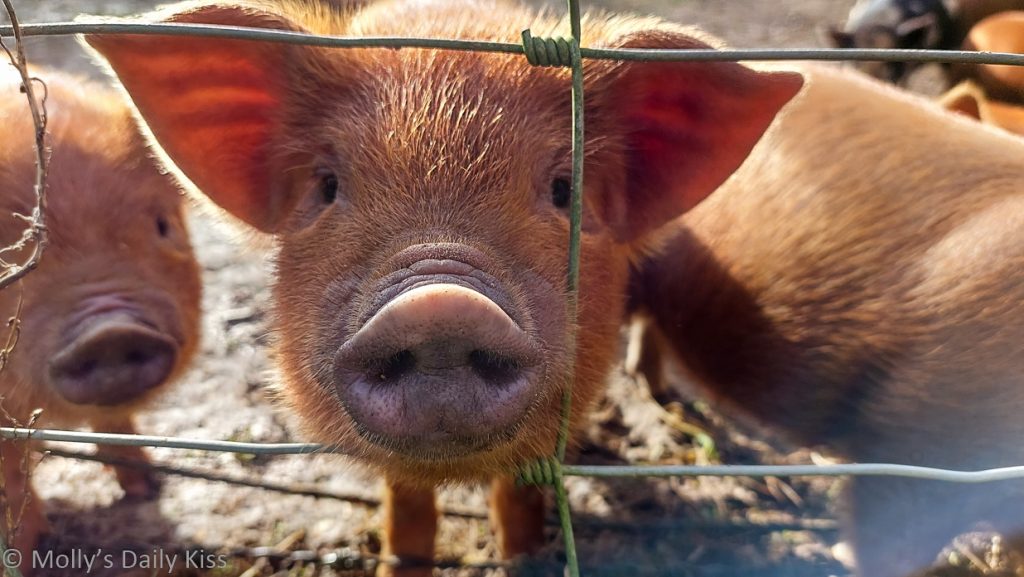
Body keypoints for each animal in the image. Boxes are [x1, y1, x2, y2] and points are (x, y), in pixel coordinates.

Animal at [81, 0, 803, 573]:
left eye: (563, 190)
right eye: (327, 186)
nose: (439, 306)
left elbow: (519, 496)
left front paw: (522, 559)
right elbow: (406, 509)